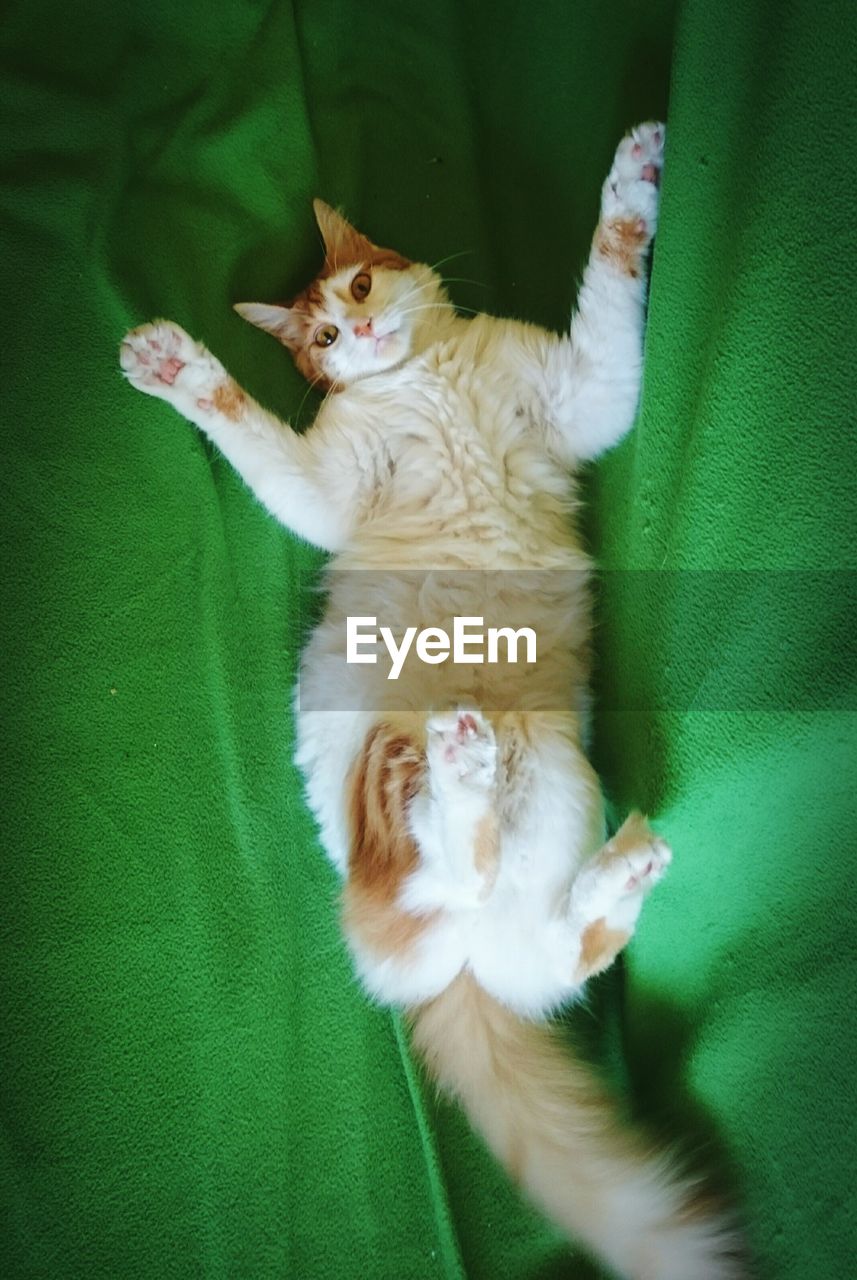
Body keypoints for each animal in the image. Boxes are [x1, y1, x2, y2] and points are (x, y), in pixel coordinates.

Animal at [120, 122, 746, 1280]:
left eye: (361, 285)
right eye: (323, 332)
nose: (360, 328)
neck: (424, 376)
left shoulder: (584, 388)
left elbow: (611, 272)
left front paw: (635, 182)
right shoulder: (329, 488)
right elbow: (252, 432)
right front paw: (176, 365)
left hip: (554, 780)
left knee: (535, 946)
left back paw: (604, 869)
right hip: (375, 765)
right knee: (432, 882)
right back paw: (461, 783)